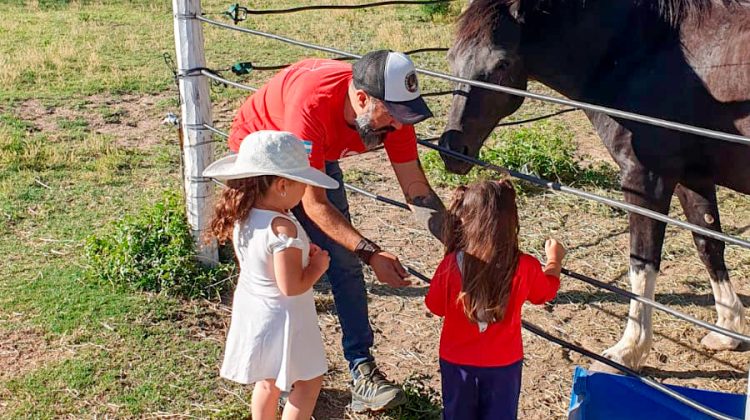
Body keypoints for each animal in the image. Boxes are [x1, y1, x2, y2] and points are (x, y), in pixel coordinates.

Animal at [440, 0, 750, 370]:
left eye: (501, 63)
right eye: (452, 57)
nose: (452, 149)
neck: (641, 50)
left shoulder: (645, 182)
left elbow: (641, 265)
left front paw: (627, 352)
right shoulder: (693, 179)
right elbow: (709, 246)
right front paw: (728, 331)